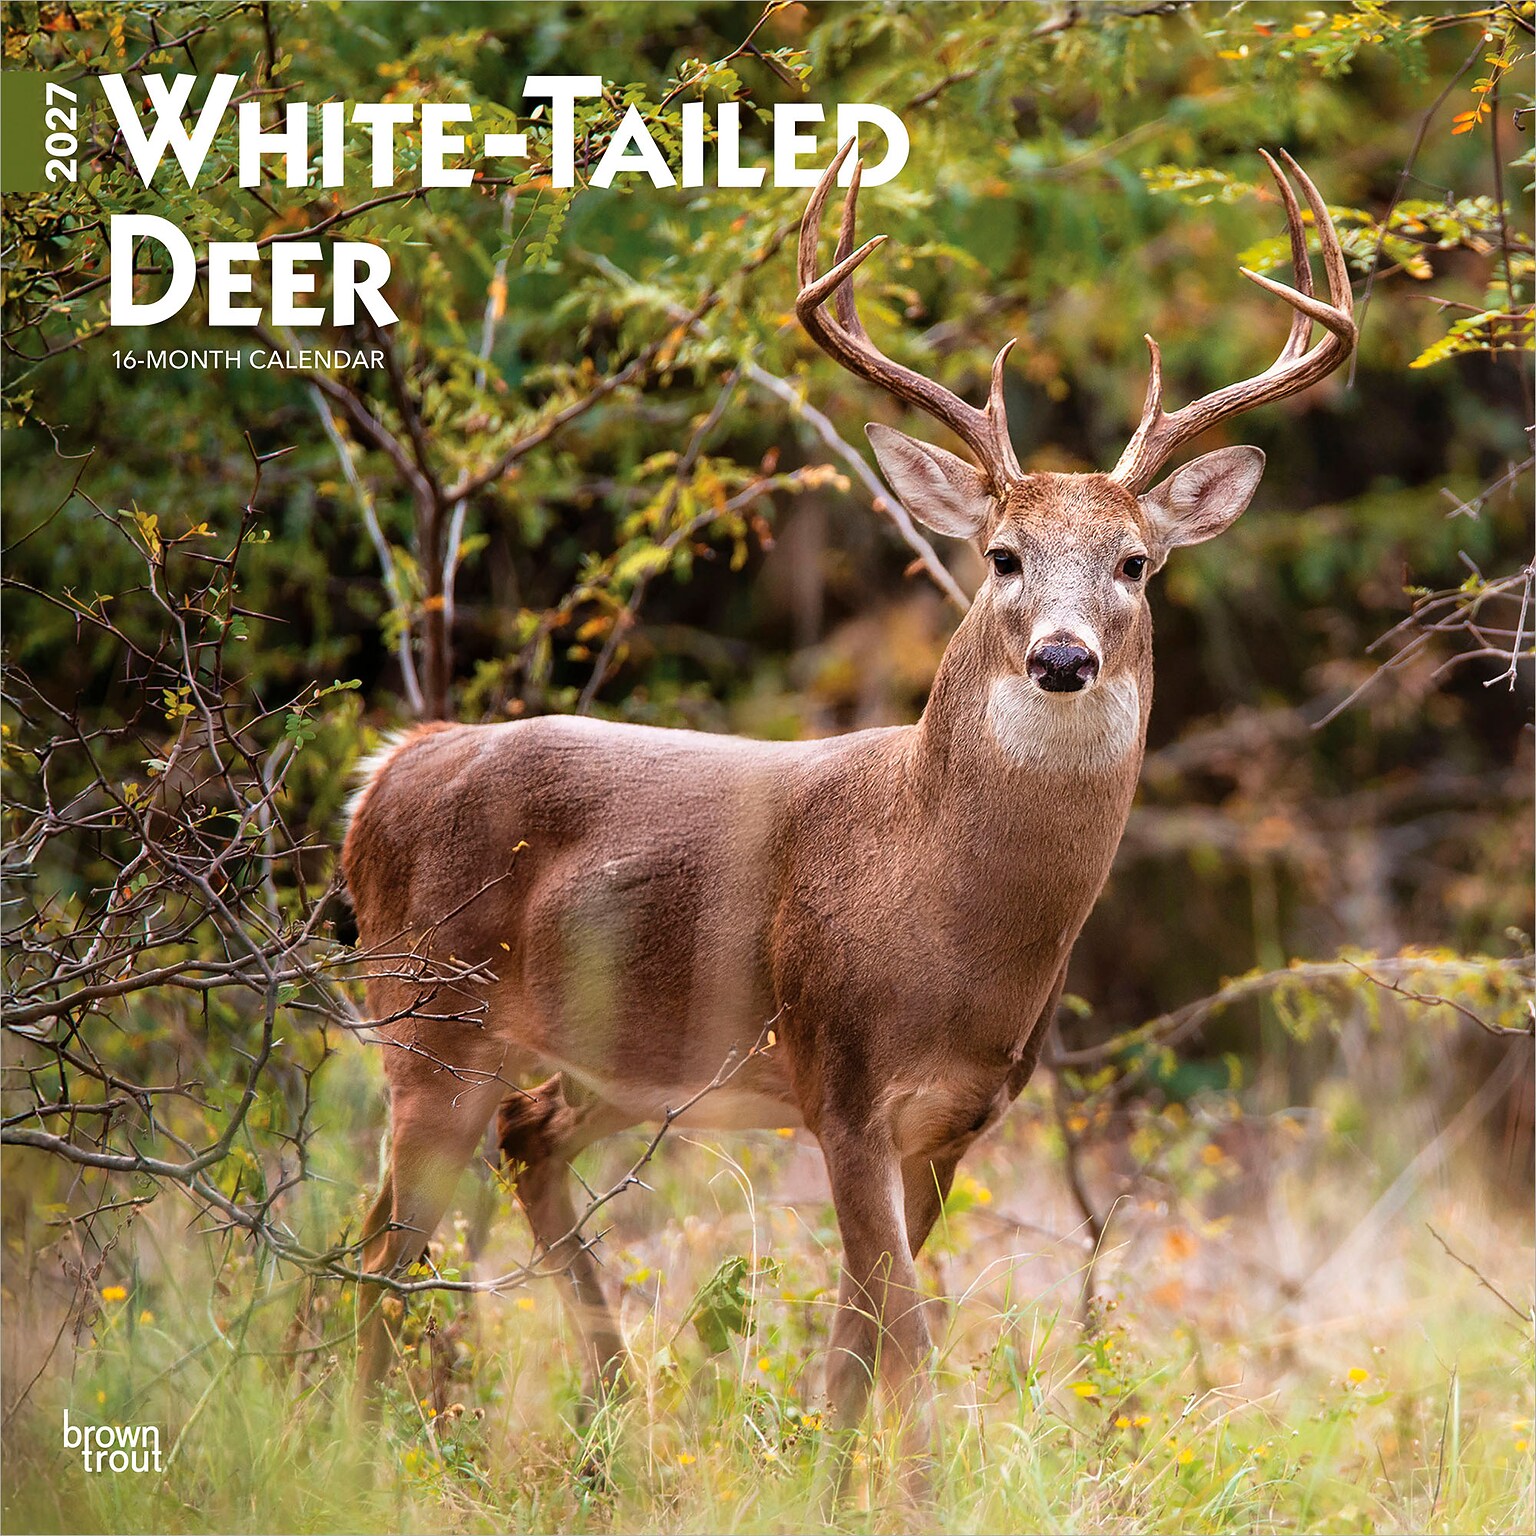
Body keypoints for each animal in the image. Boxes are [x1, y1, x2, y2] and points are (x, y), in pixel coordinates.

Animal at [341, 143, 1355, 1493]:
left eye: (1136, 563)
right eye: (1001, 554)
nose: (1065, 657)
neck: (941, 904)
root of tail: (386, 773)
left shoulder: (955, 1116)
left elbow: (858, 1336)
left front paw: (828, 1487)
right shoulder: (842, 1075)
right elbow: (906, 1333)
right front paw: (920, 1497)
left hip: (610, 1057)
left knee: (511, 1149)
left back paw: (606, 1424)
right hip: (427, 1015)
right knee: (380, 1253)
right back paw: (346, 1444)